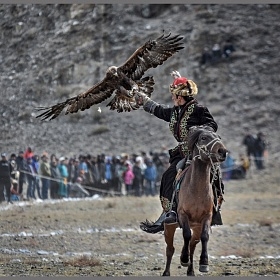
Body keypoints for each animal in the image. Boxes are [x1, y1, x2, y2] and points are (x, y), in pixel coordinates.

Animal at [162, 126, 228, 276]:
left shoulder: (207, 217)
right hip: (169, 226)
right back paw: (167, 272)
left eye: (219, 137)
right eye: (203, 138)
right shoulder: (182, 214)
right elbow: (186, 234)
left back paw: (191, 270)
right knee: (170, 249)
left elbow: (204, 237)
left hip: (196, 226)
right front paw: (184, 258)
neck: (196, 189)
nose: (223, 152)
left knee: (192, 244)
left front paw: (204, 263)